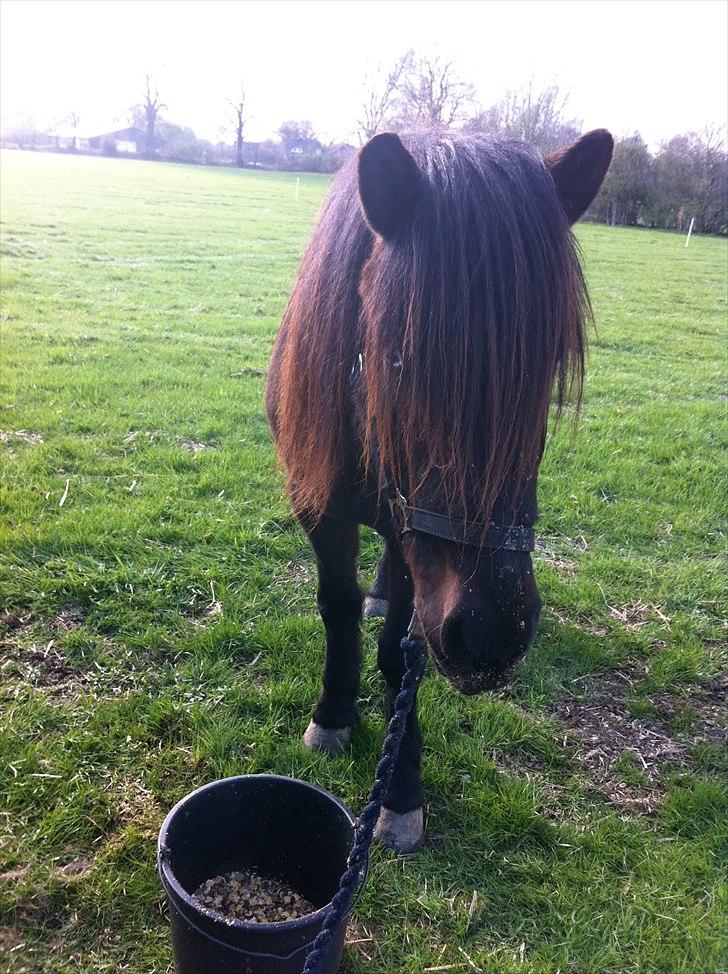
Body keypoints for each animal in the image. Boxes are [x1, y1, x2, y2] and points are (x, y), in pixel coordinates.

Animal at [264, 127, 612, 856]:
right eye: (400, 358)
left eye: (545, 371)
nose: (490, 635)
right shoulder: (318, 505)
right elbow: (336, 607)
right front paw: (332, 714)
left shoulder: (413, 544)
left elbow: (403, 655)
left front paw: (399, 789)